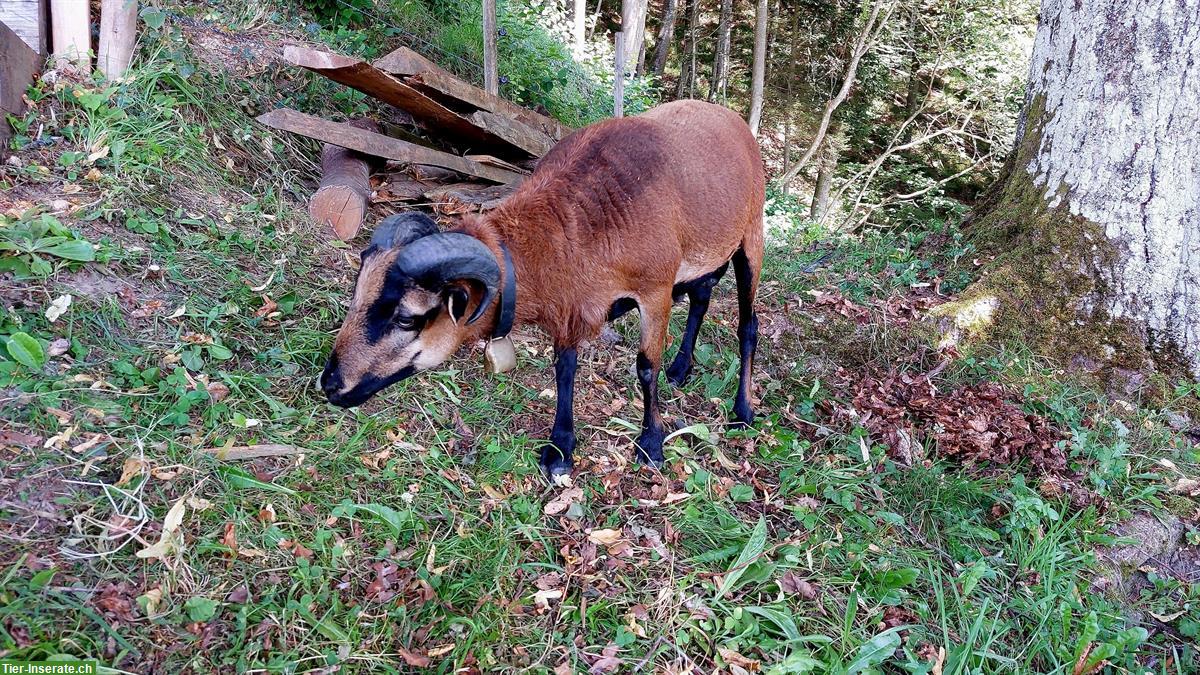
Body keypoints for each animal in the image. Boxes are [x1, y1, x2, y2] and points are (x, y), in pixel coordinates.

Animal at [324, 98, 763, 478]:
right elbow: (564, 369)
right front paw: (560, 449)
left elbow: (645, 367)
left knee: (748, 327)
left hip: (751, 236)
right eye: (356, 297)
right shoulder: (572, 301)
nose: (329, 384)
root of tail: (730, 115)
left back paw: (742, 411)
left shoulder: (654, 289)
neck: (579, 223)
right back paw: (681, 368)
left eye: (406, 318)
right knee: (702, 297)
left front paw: (651, 444)